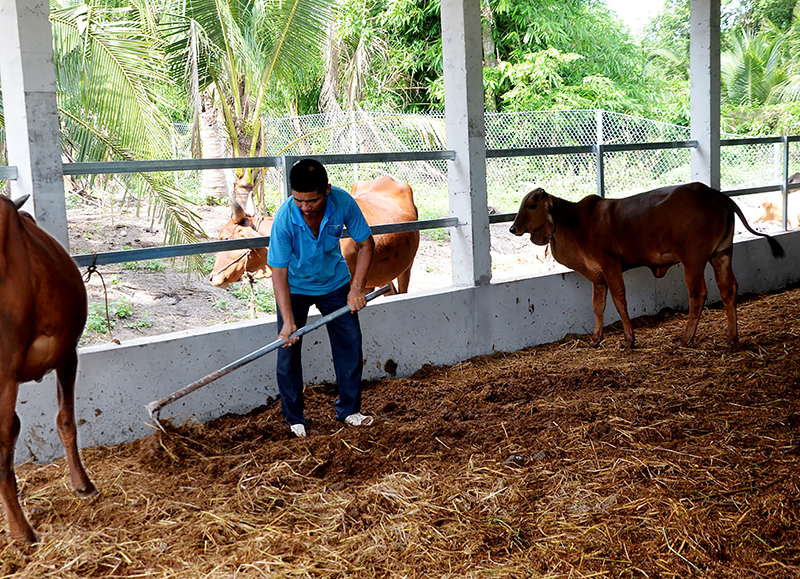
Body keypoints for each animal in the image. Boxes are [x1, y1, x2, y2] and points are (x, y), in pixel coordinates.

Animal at [510, 182, 784, 348]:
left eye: (531, 205)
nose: (512, 228)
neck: (577, 222)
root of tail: (712, 192)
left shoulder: (610, 265)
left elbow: (619, 301)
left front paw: (629, 340)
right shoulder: (598, 276)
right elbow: (598, 306)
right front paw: (596, 339)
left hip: (693, 259)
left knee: (698, 294)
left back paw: (686, 338)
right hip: (722, 254)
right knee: (729, 290)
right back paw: (731, 338)